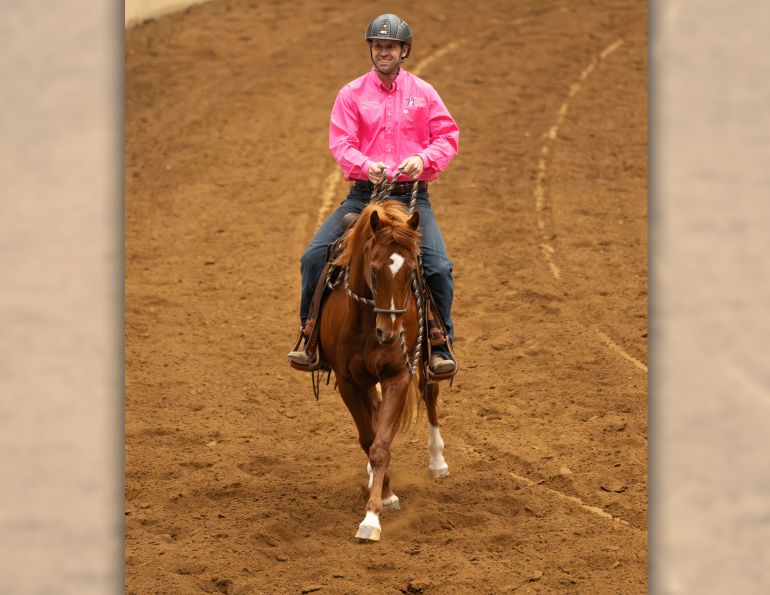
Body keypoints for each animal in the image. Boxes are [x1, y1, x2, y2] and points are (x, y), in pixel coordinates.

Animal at [319, 199, 450, 542]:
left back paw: (437, 461)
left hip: (425, 363)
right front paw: (384, 492)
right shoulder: (349, 382)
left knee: (430, 396)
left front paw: (372, 517)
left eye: (411, 270)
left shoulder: (398, 376)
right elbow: (370, 440)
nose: (389, 333)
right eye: (375, 270)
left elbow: (381, 446)